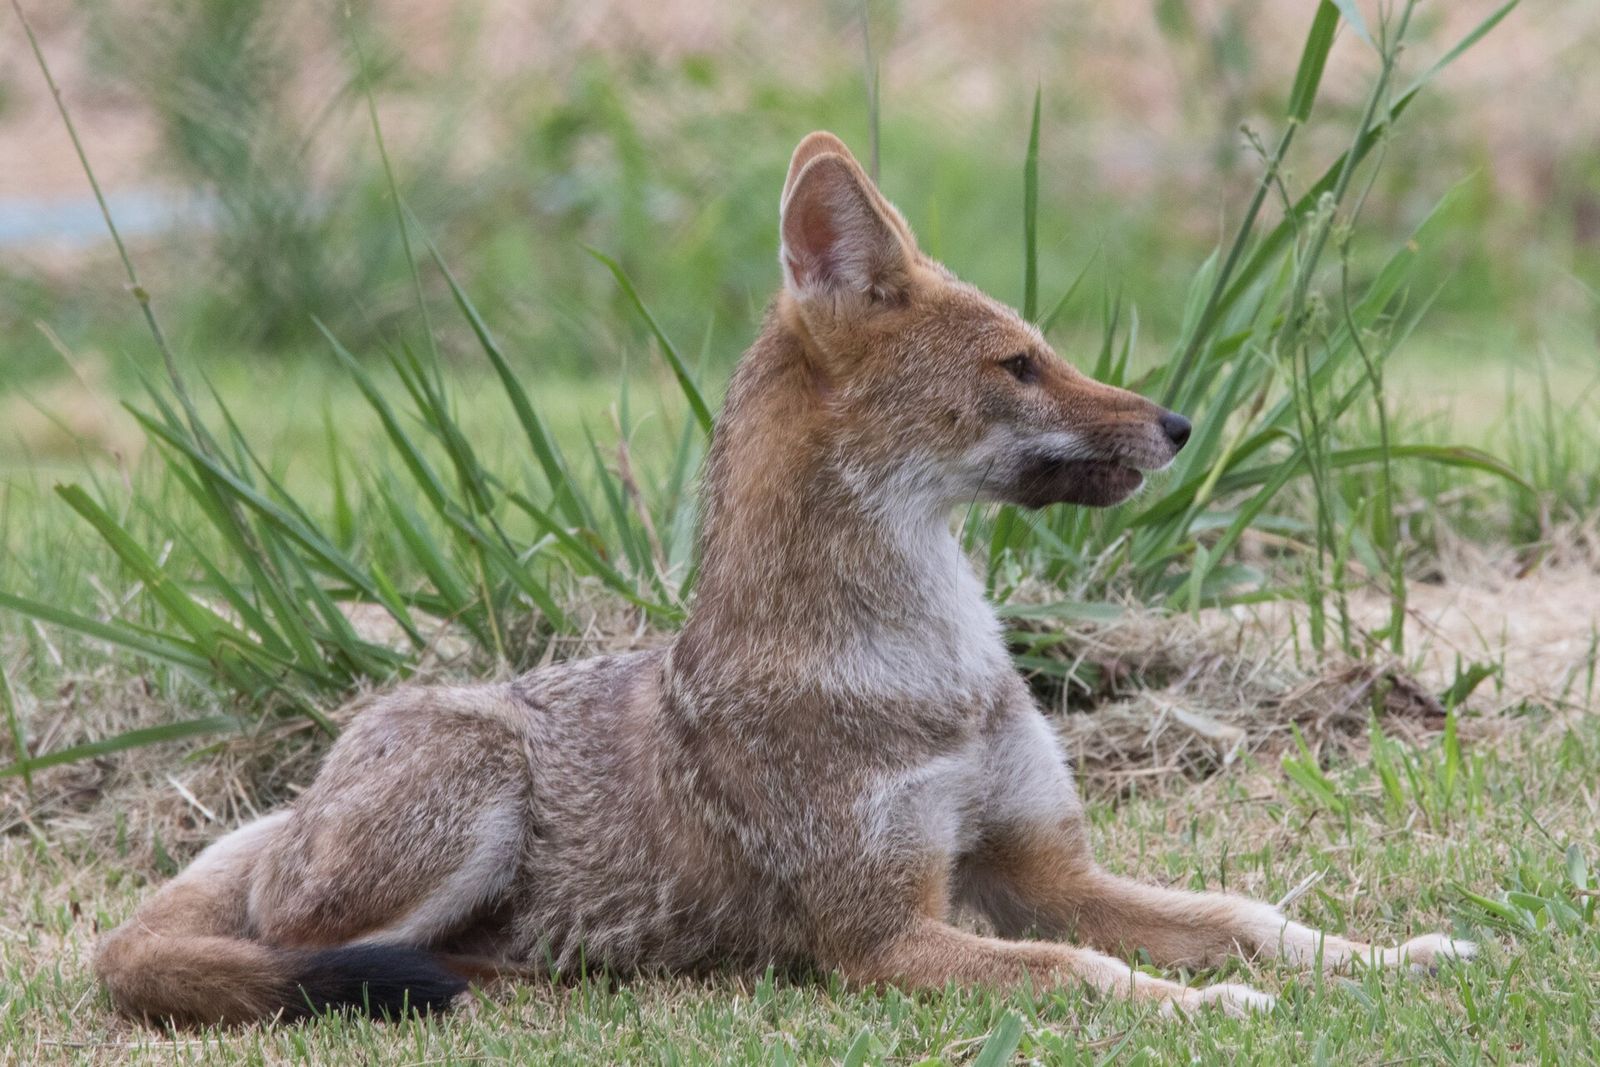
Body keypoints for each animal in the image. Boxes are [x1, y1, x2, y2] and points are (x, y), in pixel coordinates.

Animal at [95, 131, 1473, 1026]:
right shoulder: (883, 933)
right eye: (1019, 363)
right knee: (299, 953)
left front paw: (1385, 953)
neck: (930, 669)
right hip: (468, 792)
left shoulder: (1043, 873)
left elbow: (1249, 912)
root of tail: (303, 788)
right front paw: (1213, 1005)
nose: (1179, 424)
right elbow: (1087, 975)